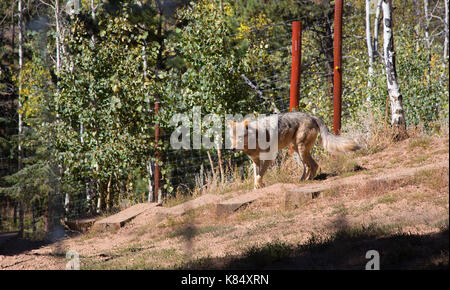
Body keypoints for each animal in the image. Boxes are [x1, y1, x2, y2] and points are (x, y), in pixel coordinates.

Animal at [229, 110, 358, 188]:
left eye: (240, 137)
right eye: (231, 138)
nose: (232, 149)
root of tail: (311, 116)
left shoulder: (270, 157)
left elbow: (259, 175)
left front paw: (258, 185)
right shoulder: (256, 161)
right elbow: (257, 175)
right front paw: (258, 188)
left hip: (301, 149)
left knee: (313, 165)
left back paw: (308, 181)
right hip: (298, 150)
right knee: (309, 166)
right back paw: (302, 180)